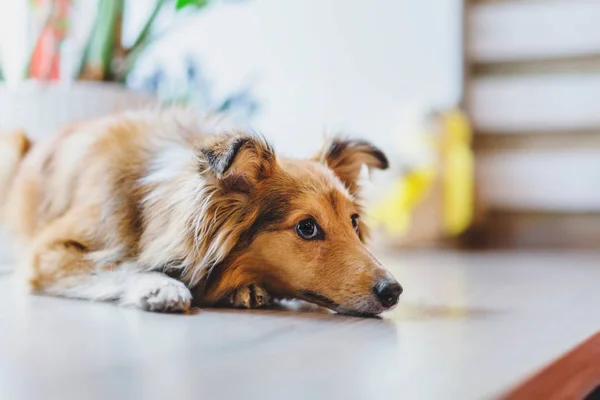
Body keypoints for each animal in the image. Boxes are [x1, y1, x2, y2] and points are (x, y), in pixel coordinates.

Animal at [2, 108, 404, 316]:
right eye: (307, 227)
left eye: (354, 222)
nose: (394, 291)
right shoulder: (49, 251)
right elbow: (118, 264)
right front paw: (161, 286)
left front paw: (246, 291)